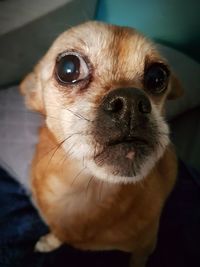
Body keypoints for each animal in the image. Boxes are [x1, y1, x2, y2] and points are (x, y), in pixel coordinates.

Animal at [20, 21, 183, 267]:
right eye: (68, 68)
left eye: (158, 76)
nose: (130, 102)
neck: (86, 194)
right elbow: (58, 232)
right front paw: (50, 241)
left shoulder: (143, 250)